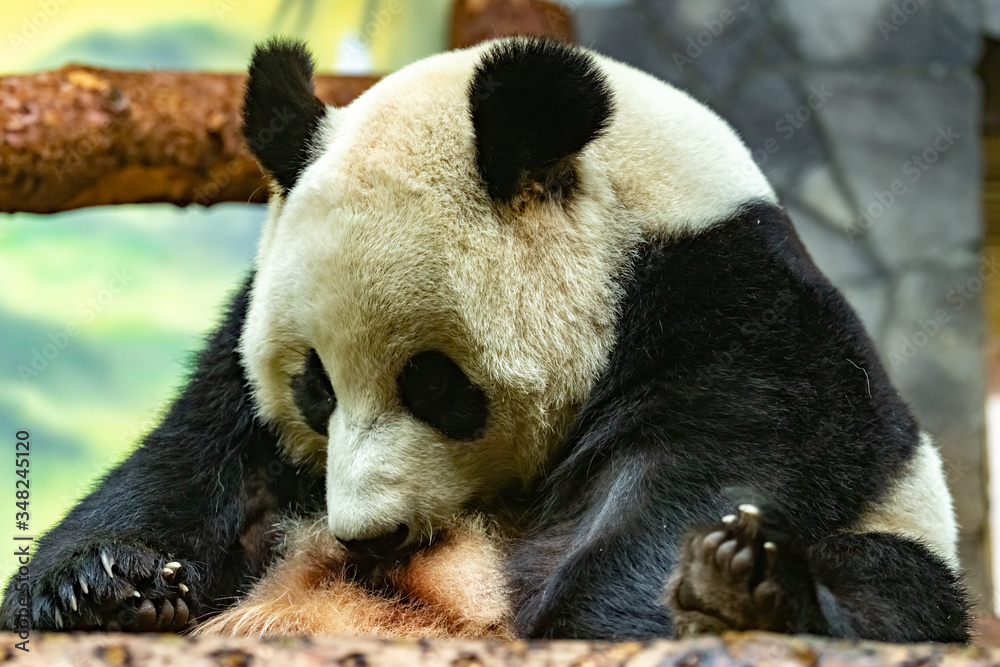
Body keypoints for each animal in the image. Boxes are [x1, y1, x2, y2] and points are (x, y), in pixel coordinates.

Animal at [0, 36, 969, 642]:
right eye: (315, 387)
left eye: (437, 386)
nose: (366, 536)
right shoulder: (244, 334)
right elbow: (190, 457)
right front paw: (100, 581)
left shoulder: (744, 315)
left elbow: (705, 467)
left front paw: (656, 599)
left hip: (905, 534)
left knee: (891, 587)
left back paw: (749, 591)